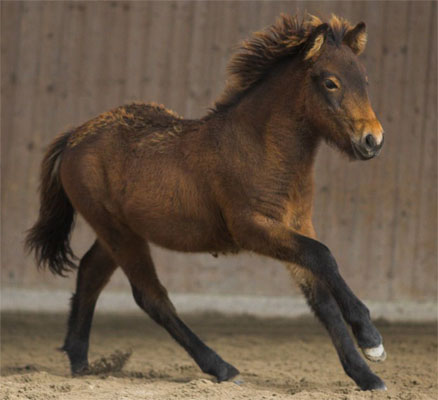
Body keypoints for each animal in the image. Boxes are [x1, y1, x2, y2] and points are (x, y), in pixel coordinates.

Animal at [25, 14, 384, 390]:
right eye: (331, 83)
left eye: (365, 81)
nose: (372, 140)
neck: (261, 148)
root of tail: (75, 137)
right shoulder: (253, 228)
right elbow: (324, 256)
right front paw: (371, 339)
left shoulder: (296, 225)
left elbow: (322, 297)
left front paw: (366, 375)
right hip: (118, 233)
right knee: (151, 297)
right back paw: (221, 367)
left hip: (119, 232)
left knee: (91, 273)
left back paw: (79, 360)